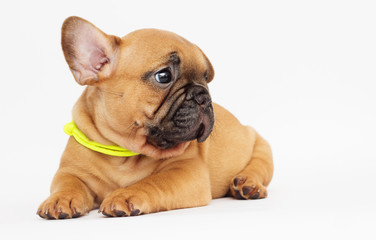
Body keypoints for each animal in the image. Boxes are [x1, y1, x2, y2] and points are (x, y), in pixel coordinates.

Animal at [37, 16, 274, 219]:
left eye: (206, 78)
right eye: (164, 76)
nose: (204, 96)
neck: (124, 151)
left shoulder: (185, 171)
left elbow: (154, 181)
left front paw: (126, 194)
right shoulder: (71, 170)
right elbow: (67, 183)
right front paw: (60, 199)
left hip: (261, 146)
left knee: (258, 167)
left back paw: (247, 185)